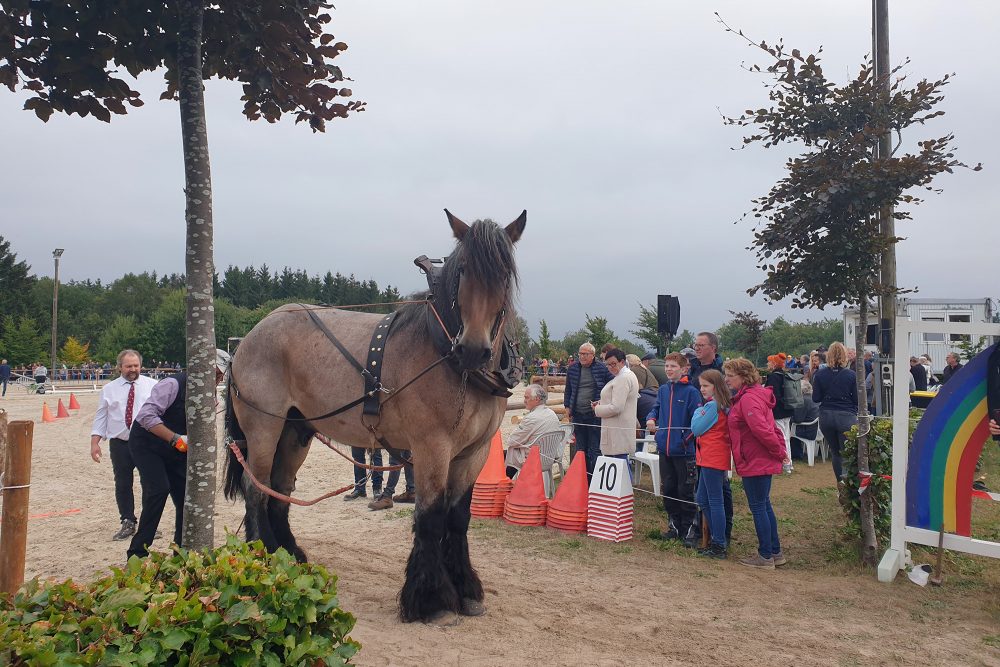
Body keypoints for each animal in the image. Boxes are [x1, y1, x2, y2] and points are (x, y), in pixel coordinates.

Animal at [224, 211, 528, 624]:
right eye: (464, 269)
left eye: (503, 273)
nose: (473, 349)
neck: (447, 356)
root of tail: (248, 339)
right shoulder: (432, 447)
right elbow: (430, 518)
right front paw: (432, 600)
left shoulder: (474, 452)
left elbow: (458, 518)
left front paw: (466, 590)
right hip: (264, 429)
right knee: (256, 491)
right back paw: (264, 559)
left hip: (295, 433)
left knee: (278, 492)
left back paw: (290, 558)